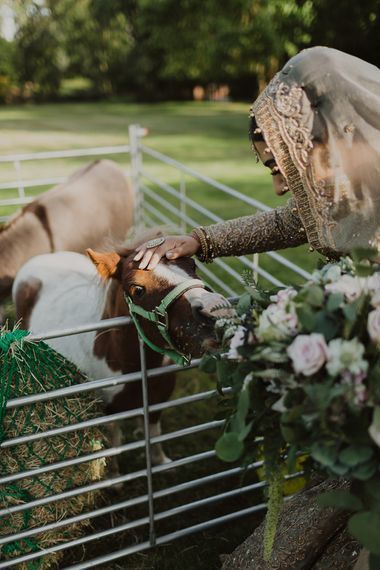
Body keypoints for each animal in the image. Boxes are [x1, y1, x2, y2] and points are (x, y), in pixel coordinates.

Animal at [13, 233, 230, 468]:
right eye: (138, 289)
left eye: (192, 264)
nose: (216, 311)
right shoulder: (108, 413)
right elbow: (114, 447)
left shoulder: (156, 404)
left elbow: (155, 436)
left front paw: (160, 461)